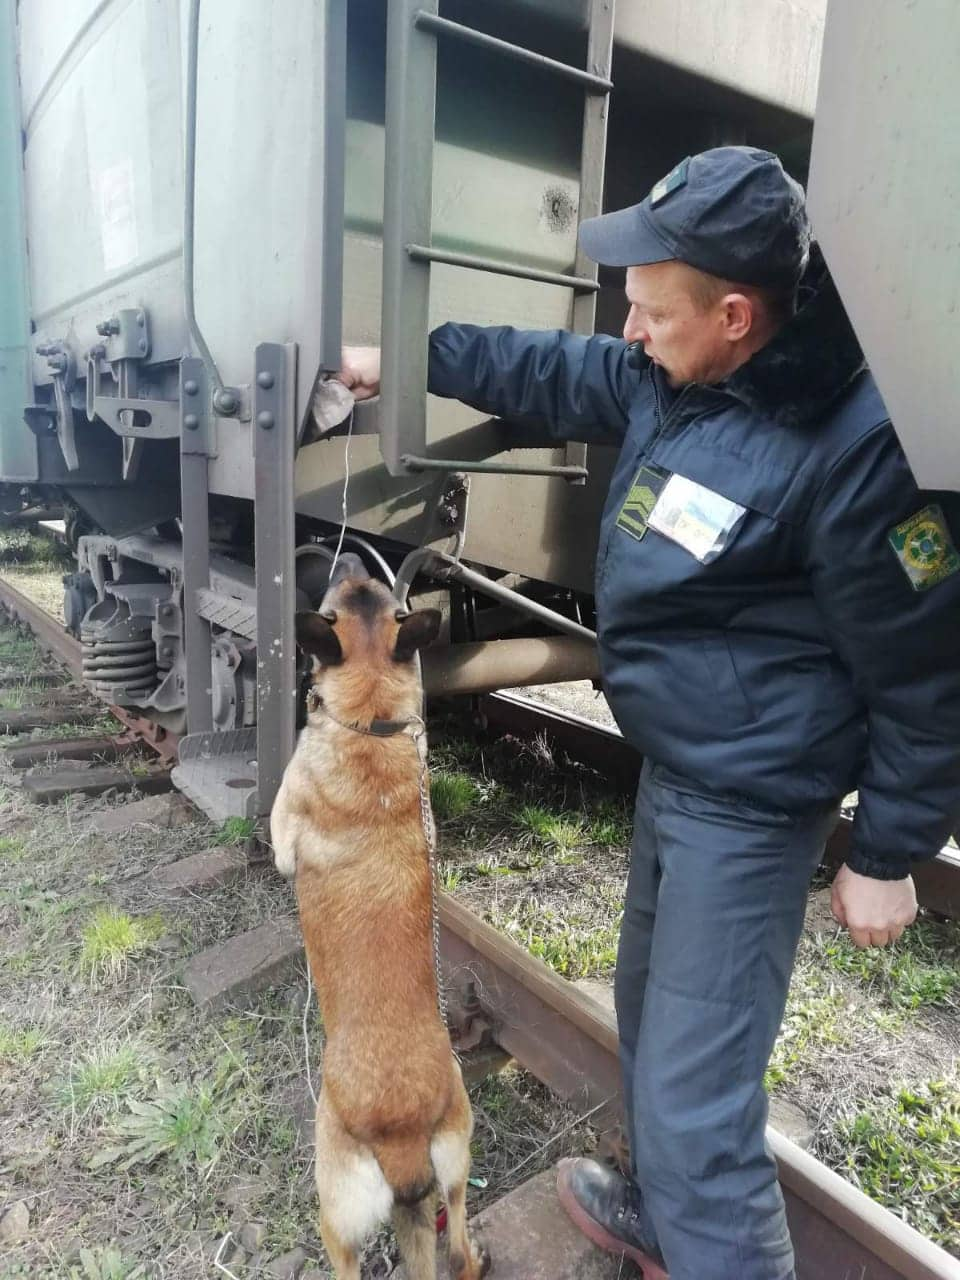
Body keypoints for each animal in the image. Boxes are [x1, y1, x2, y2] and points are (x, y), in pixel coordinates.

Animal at [273, 555, 491, 1280]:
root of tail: (400, 1138)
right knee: (460, 1251)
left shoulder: (281, 828)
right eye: (362, 591)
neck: (371, 723)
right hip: (452, 1179)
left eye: (337, 597)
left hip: (335, 1206)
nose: (348, 556)